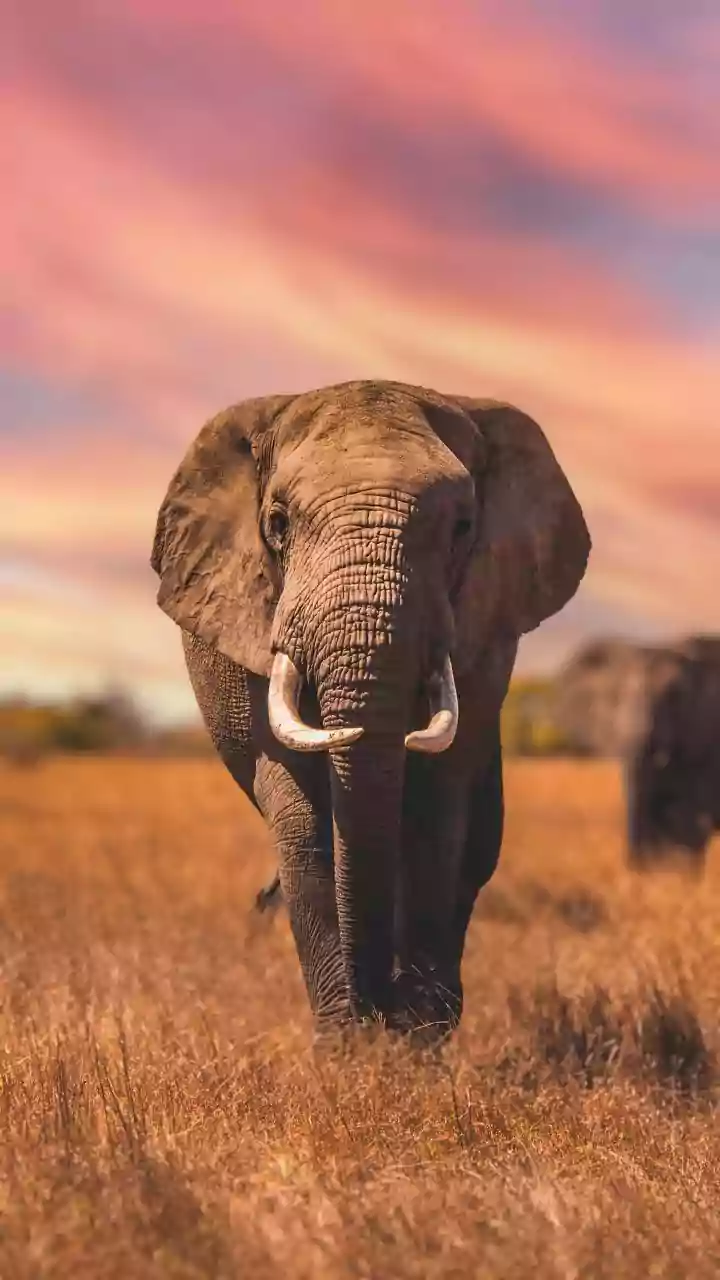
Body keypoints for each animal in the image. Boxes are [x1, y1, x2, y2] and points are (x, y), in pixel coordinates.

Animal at [151, 379, 590, 1041]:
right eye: (277, 523)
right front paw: (350, 1045)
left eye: (463, 526)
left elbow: (437, 809)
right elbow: (304, 820)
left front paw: (416, 1038)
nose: (380, 1011)